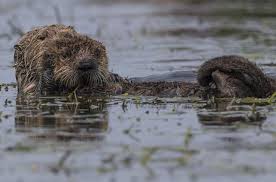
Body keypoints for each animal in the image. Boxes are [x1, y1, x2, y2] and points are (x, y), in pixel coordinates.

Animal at [14, 24, 276, 99]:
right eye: (41, 36)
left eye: (96, 53)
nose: (86, 64)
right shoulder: (33, 93)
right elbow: (44, 88)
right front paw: (48, 66)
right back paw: (220, 78)